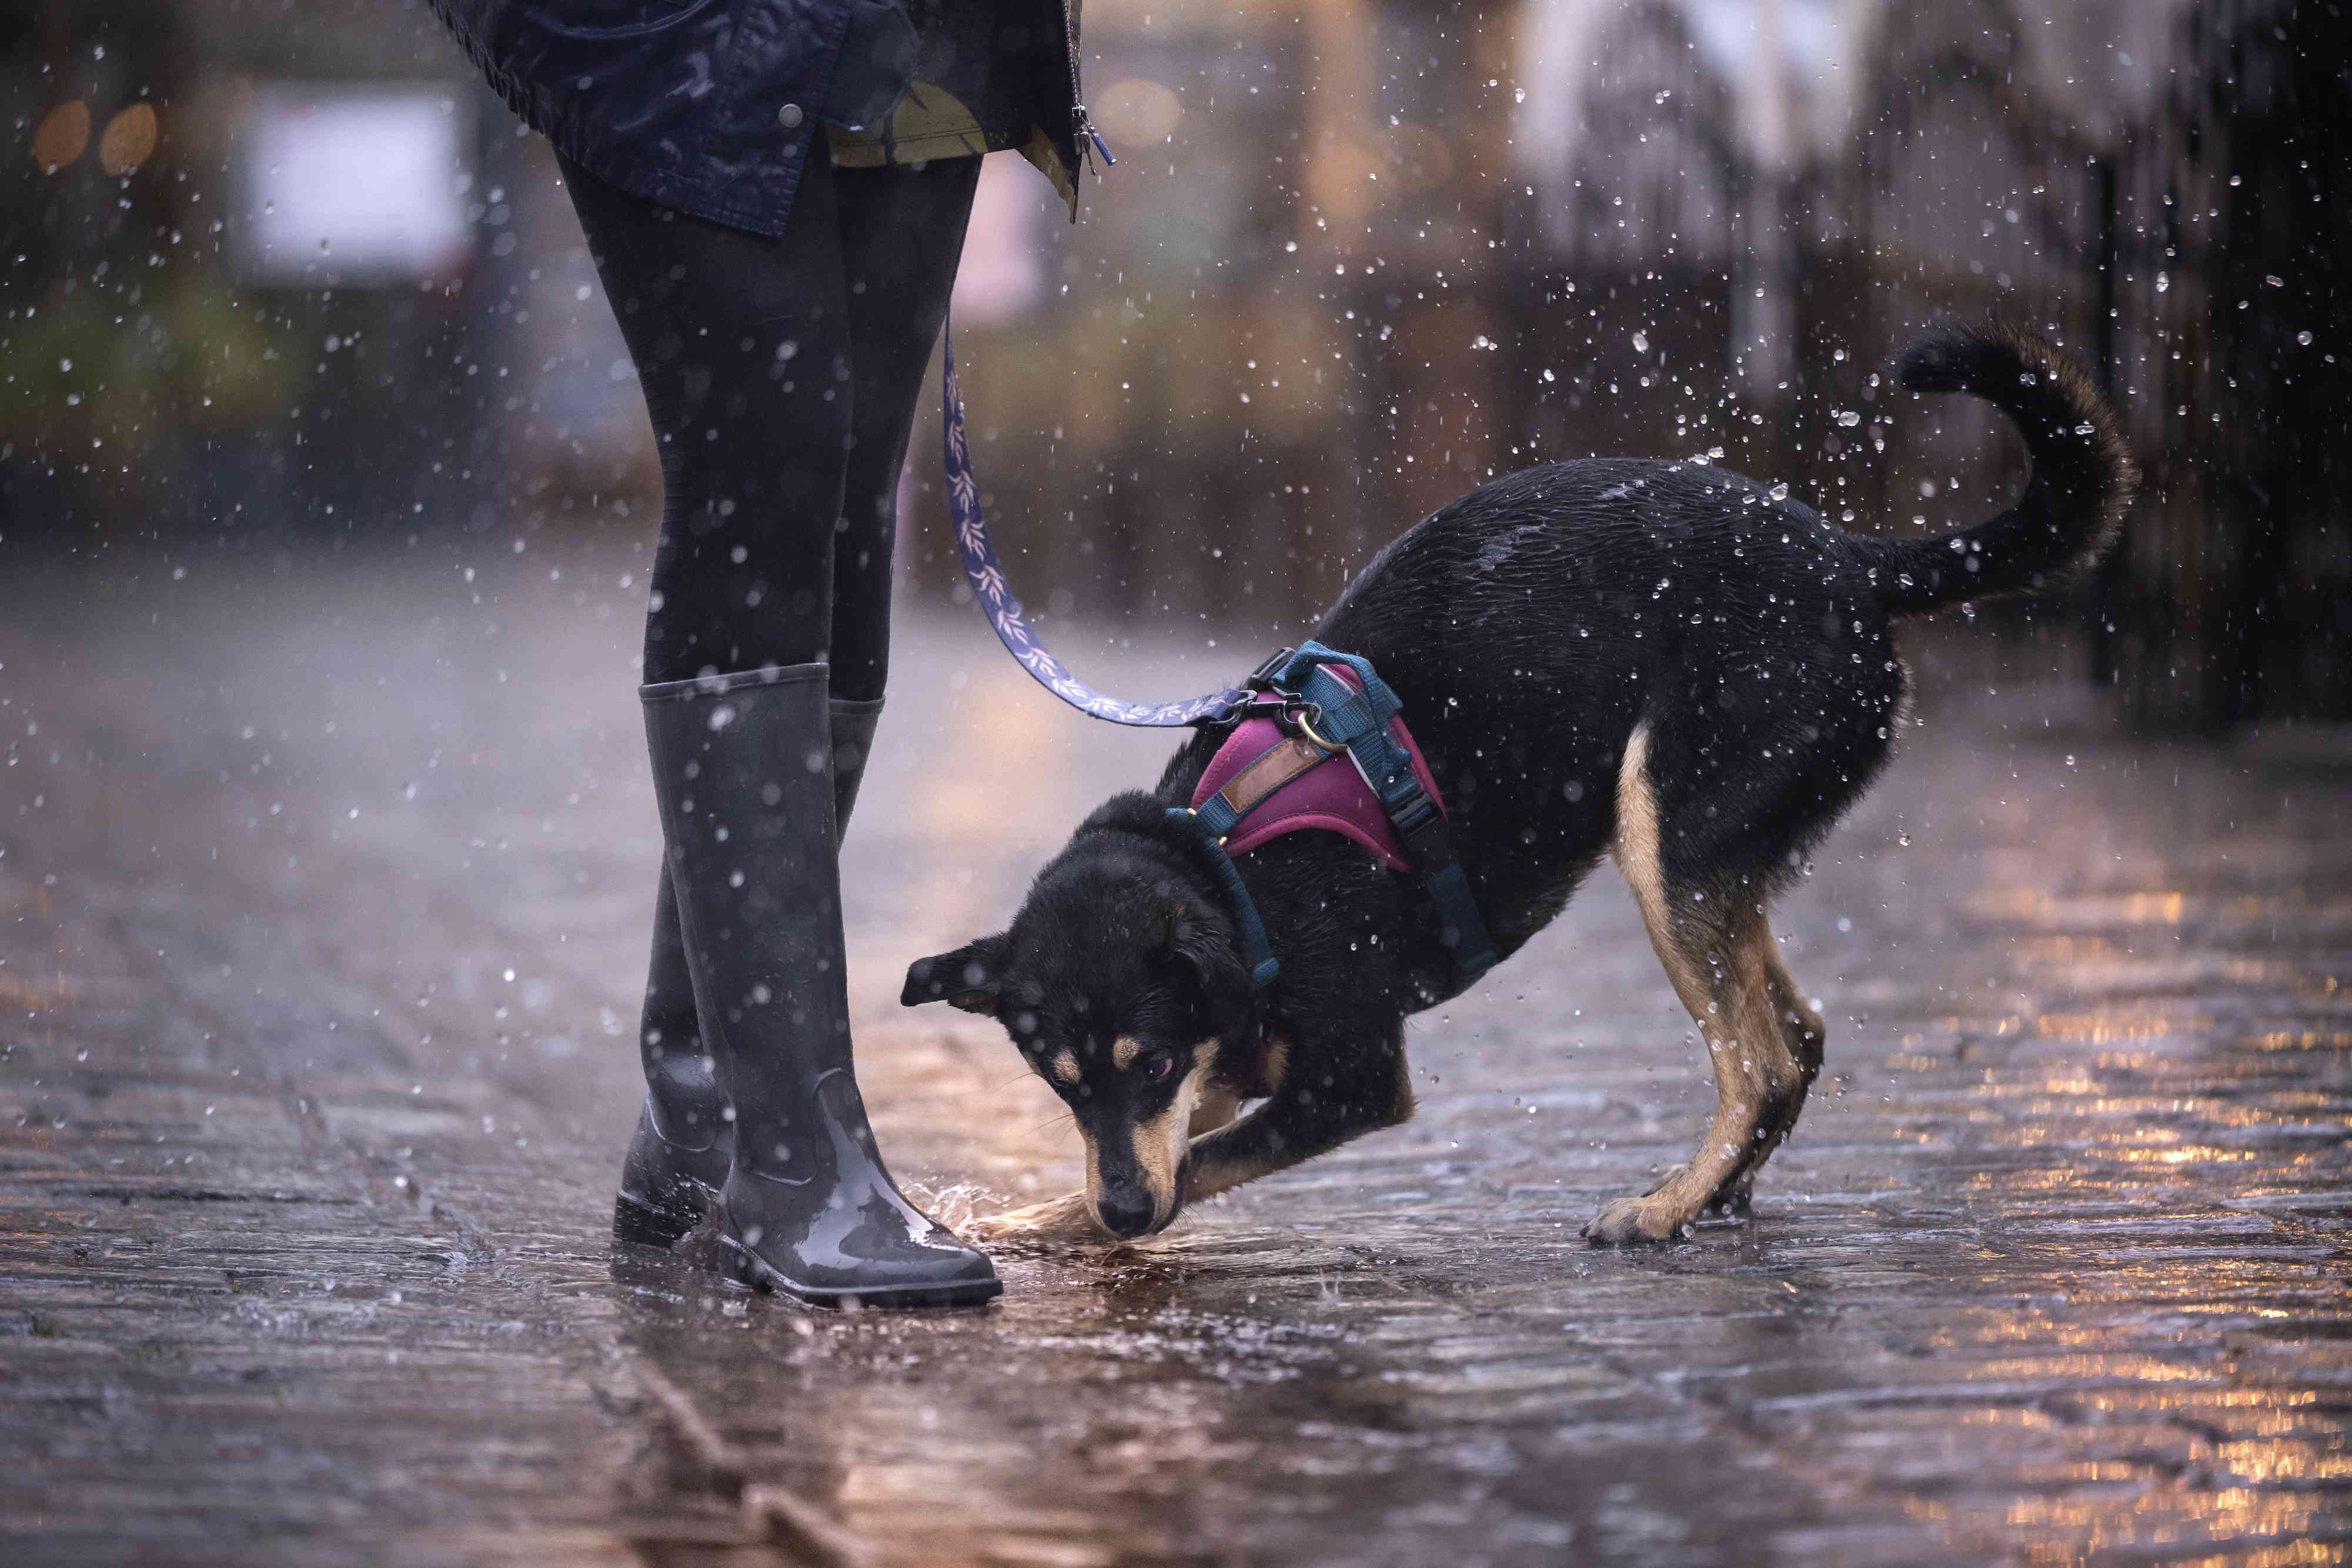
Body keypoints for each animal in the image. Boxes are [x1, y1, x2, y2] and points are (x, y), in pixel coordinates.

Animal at [898, 329, 2136, 1251]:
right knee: (1799, 1039)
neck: (1222, 865)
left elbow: (1197, 1155)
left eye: (1143, 1059)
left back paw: (1666, 1208)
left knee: (1763, 1059)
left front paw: (1061, 1220)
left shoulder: (1346, 1080)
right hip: (1714, 858)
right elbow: (1168, 1144)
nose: (1121, 1214)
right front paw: (1046, 1213)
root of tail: (1849, 557)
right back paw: (1720, 1193)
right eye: (1058, 1083)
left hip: (1668, 839)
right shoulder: (1224, 1062)